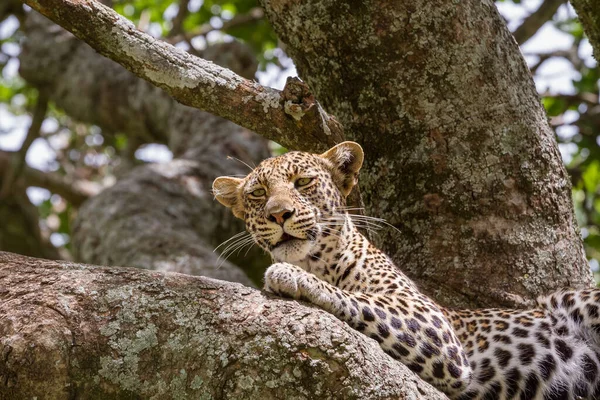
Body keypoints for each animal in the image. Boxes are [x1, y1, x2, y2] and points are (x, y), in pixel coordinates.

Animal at [211, 143, 600, 400]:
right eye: (258, 193)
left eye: (303, 182)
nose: (278, 213)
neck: (316, 260)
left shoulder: (434, 323)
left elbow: (358, 297)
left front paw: (291, 276)